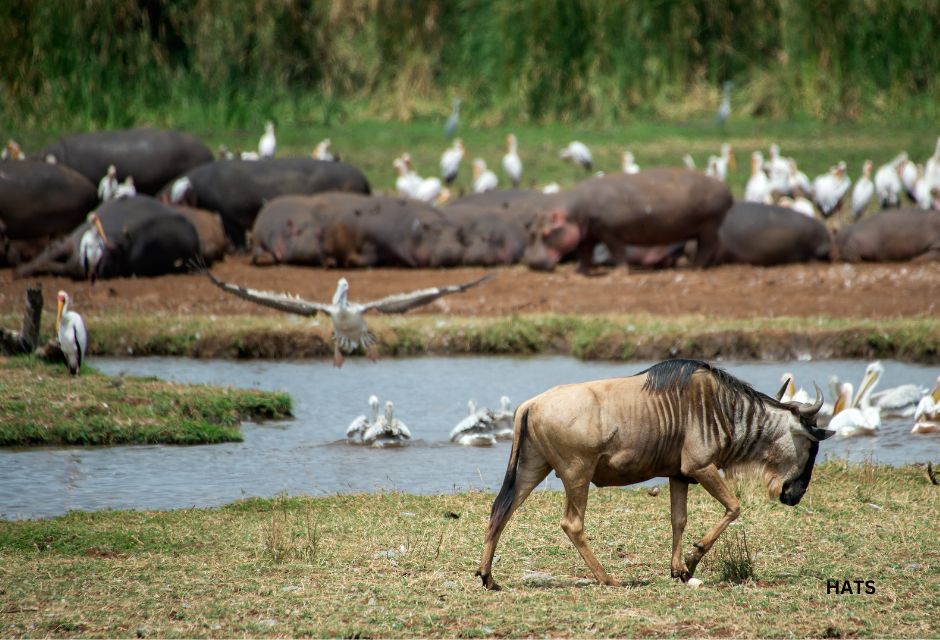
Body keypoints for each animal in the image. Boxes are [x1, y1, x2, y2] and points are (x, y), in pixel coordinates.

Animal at [322, 192, 464, 268]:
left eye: (458, 233)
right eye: (435, 232)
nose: (452, 250)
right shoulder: (372, 241)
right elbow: (370, 255)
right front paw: (352, 260)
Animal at [520, 169, 736, 272]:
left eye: (547, 232)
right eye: (529, 231)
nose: (532, 263)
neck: (573, 212)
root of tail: (726, 188)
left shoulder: (610, 233)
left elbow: (618, 252)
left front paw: (619, 273)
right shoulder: (588, 234)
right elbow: (585, 254)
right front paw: (578, 272)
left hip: (709, 225)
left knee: (707, 246)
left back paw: (694, 268)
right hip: (707, 228)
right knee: (713, 244)